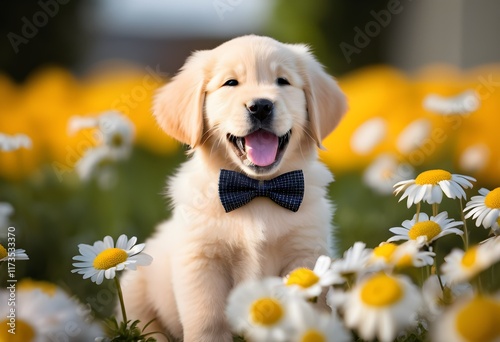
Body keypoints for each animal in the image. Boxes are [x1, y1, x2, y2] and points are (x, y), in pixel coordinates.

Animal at [121, 35, 348, 342]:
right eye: (231, 83)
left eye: (282, 81)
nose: (261, 106)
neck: (258, 189)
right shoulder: (201, 260)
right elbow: (208, 321)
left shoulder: (305, 253)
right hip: (134, 287)